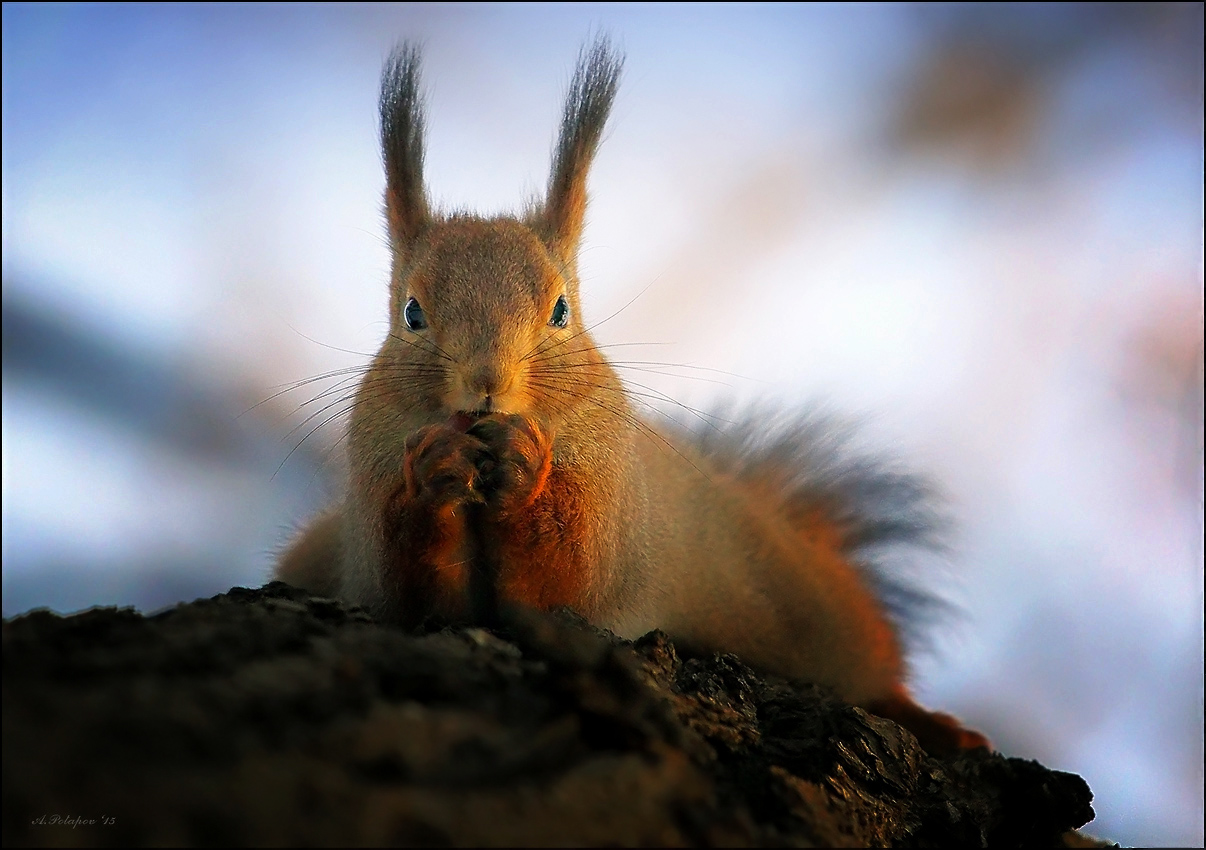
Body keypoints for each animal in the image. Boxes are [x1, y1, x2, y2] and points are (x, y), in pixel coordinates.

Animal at [279, 38, 988, 757]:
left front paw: (526, 464)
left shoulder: (610, 507)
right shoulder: (370, 502)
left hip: (811, 608)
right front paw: (434, 466)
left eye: (561, 310)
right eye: (412, 312)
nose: (486, 385)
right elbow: (405, 585)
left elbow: (572, 576)